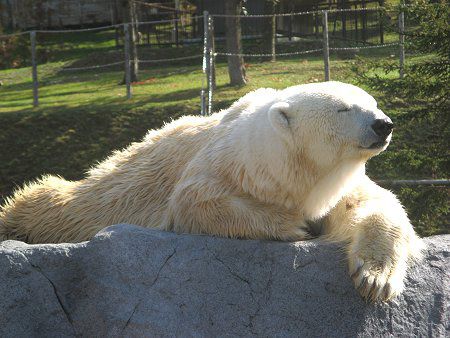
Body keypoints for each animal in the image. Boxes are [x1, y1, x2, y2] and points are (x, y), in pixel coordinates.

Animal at [0, 81, 422, 302]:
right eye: (344, 109)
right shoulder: (230, 164)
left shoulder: (336, 186)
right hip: (122, 181)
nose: (383, 124)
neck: (294, 169)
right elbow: (195, 202)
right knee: (61, 202)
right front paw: (293, 223)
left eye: (373, 102)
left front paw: (375, 277)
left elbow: (377, 206)